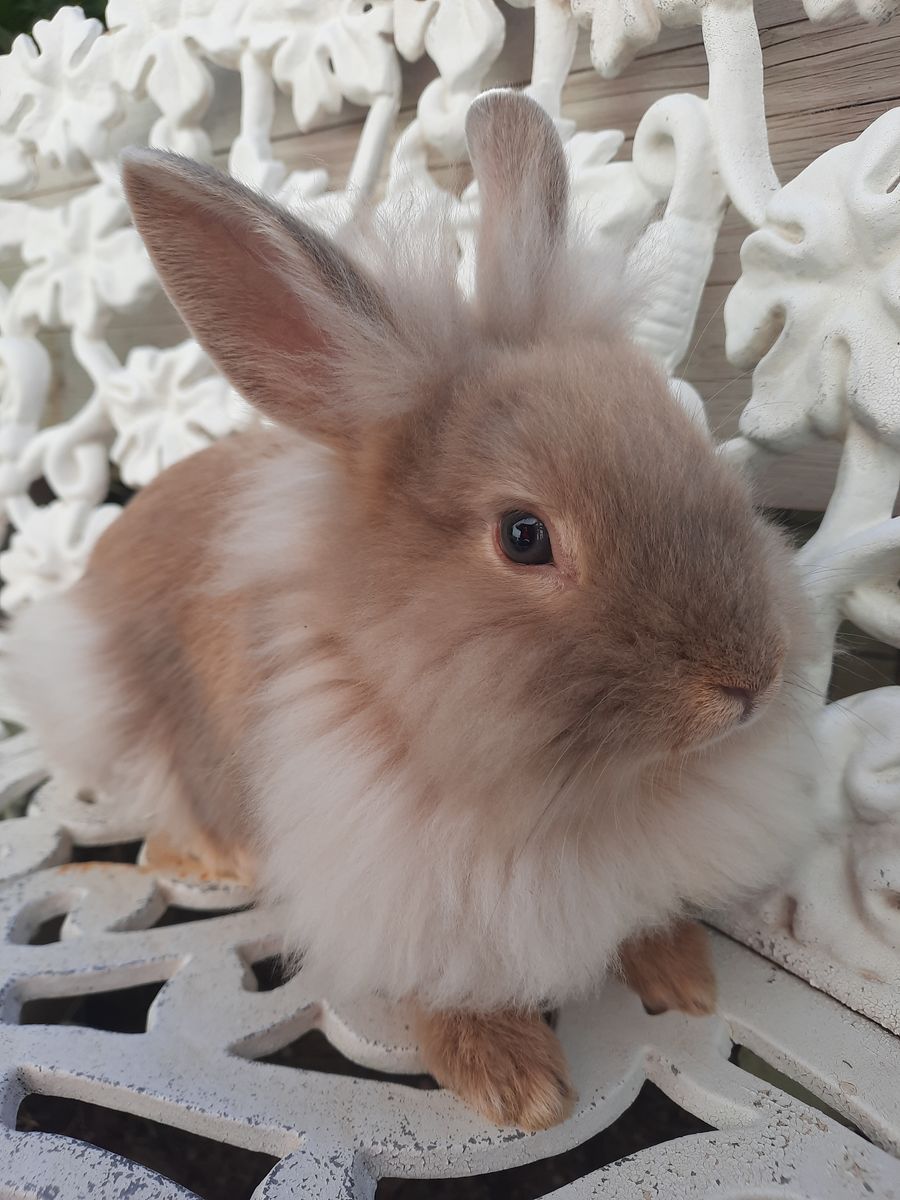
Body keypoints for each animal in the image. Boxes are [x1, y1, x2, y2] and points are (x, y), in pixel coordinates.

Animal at [7, 89, 820, 1132]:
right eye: (524, 537)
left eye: (692, 443)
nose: (750, 678)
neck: (586, 794)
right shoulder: (406, 886)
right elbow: (445, 988)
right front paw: (516, 1086)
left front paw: (684, 979)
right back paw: (221, 860)